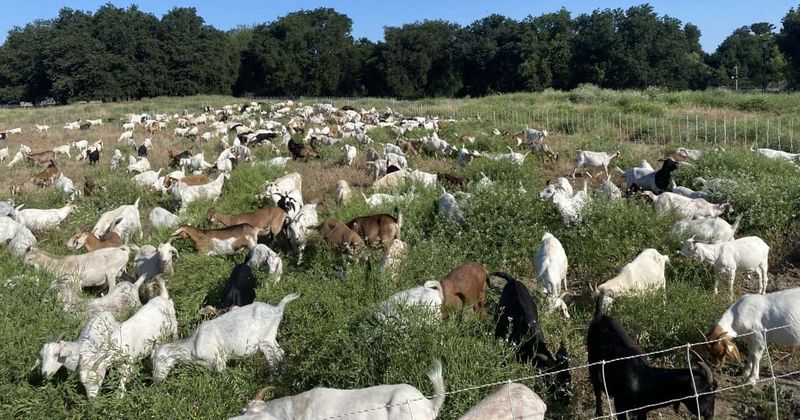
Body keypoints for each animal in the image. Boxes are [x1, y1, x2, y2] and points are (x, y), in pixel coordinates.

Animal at [151, 293, 300, 380]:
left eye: (158, 361)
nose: (156, 380)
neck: (192, 346)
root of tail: (278, 309)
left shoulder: (218, 359)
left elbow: (222, 375)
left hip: (266, 340)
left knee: (273, 357)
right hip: (272, 338)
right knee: (281, 353)